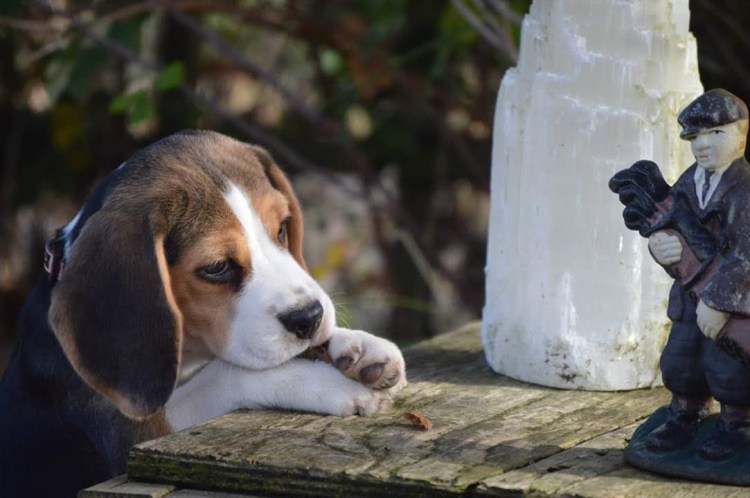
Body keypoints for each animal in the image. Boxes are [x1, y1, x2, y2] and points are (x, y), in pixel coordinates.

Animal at [0, 130, 406, 497]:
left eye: (281, 229)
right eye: (216, 267)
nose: (309, 316)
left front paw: (359, 348)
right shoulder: (138, 435)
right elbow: (229, 374)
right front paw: (330, 383)